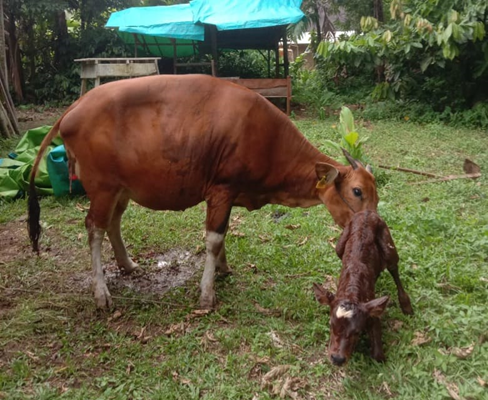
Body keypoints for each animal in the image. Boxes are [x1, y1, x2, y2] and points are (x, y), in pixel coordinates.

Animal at [26, 73, 380, 310]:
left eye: (375, 194)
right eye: (357, 192)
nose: (374, 227)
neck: (268, 140)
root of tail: (74, 107)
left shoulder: (227, 195)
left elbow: (221, 236)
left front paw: (222, 269)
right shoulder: (222, 189)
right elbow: (213, 238)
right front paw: (207, 293)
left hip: (121, 189)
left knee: (113, 222)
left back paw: (127, 264)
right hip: (102, 187)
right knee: (94, 229)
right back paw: (101, 293)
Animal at [312, 209, 412, 366]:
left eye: (357, 331)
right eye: (331, 325)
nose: (338, 359)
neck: (351, 291)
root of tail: (367, 212)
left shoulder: (371, 313)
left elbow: (378, 356)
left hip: (388, 242)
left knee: (393, 267)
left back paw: (406, 306)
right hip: (340, 244)